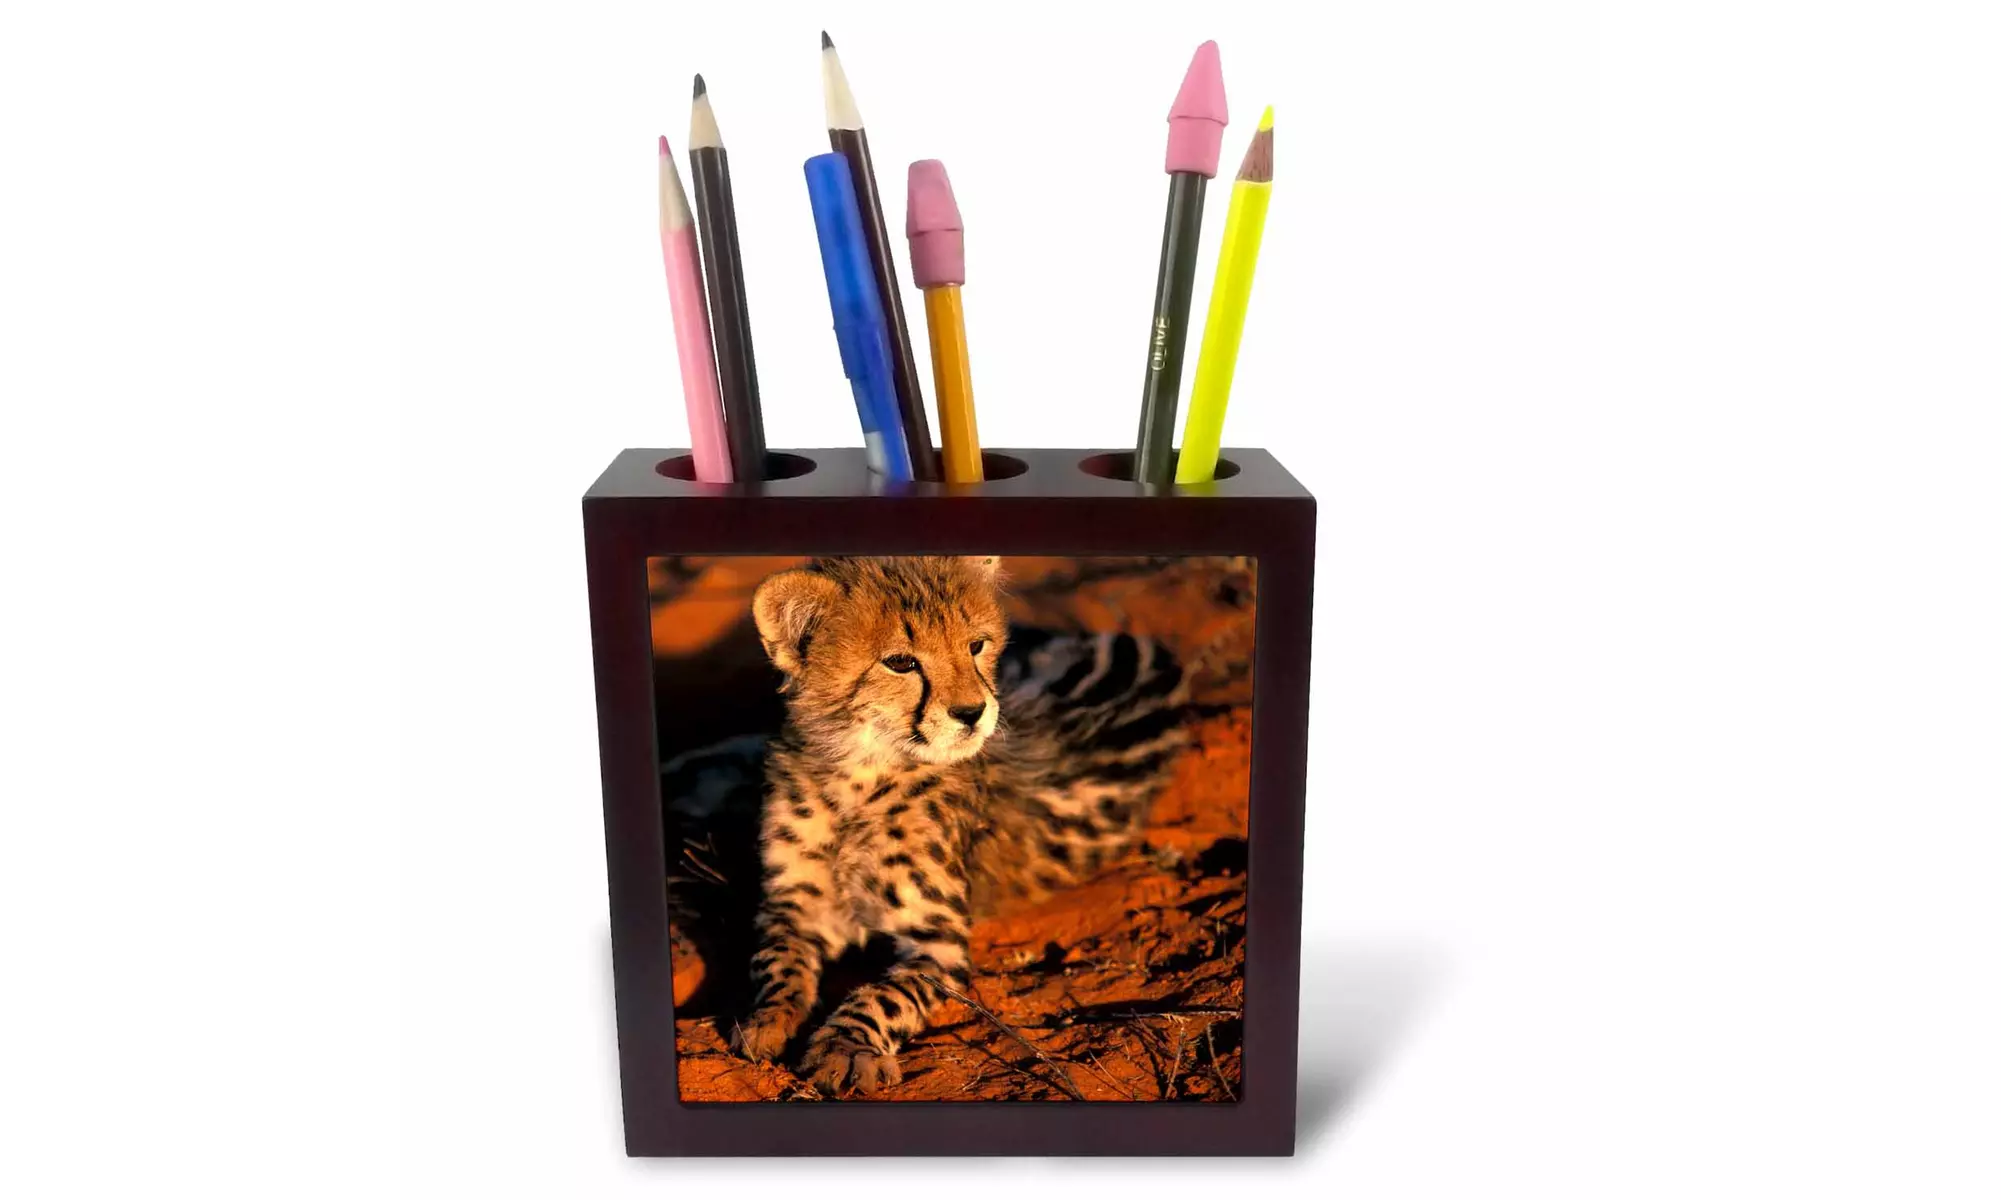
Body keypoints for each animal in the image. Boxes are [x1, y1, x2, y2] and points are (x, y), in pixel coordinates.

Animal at [727, 554, 1196, 1095]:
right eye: (901, 662)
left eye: (976, 645)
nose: (973, 712)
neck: (859, 776)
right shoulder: (793, 906)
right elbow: (776, 962)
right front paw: (767, 1020)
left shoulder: (939, 941)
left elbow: (885, 996)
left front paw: (847, 1047)